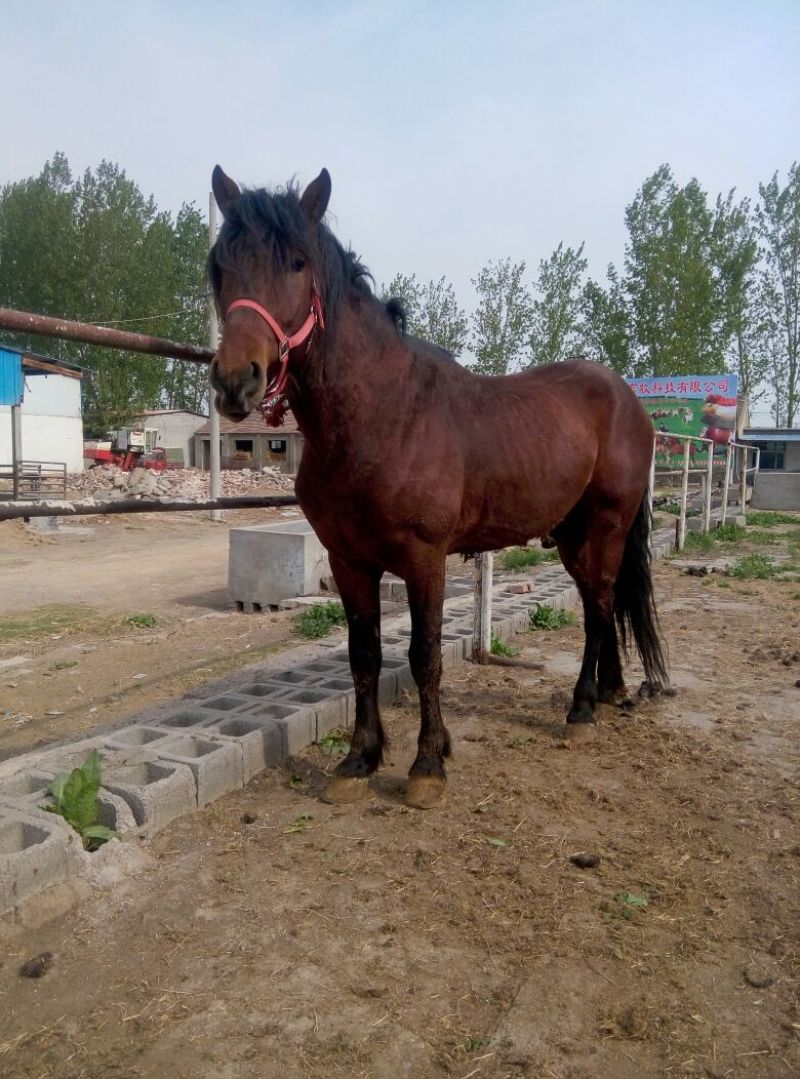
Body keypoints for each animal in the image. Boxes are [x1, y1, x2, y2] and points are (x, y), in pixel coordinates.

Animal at [208, 166, 668, 810]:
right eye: (220, 266)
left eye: (298, 263)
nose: (235, 381)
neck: (384, 417)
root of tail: (627, 398)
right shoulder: (348, 561)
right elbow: (365, 656)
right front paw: (359, 760)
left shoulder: (425, 559)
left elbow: (423, 656)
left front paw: (427, 765)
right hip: (572, 534)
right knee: (599, 604)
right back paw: (608, 692)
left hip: (607, 524)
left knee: (600, 606)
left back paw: (580, 710)